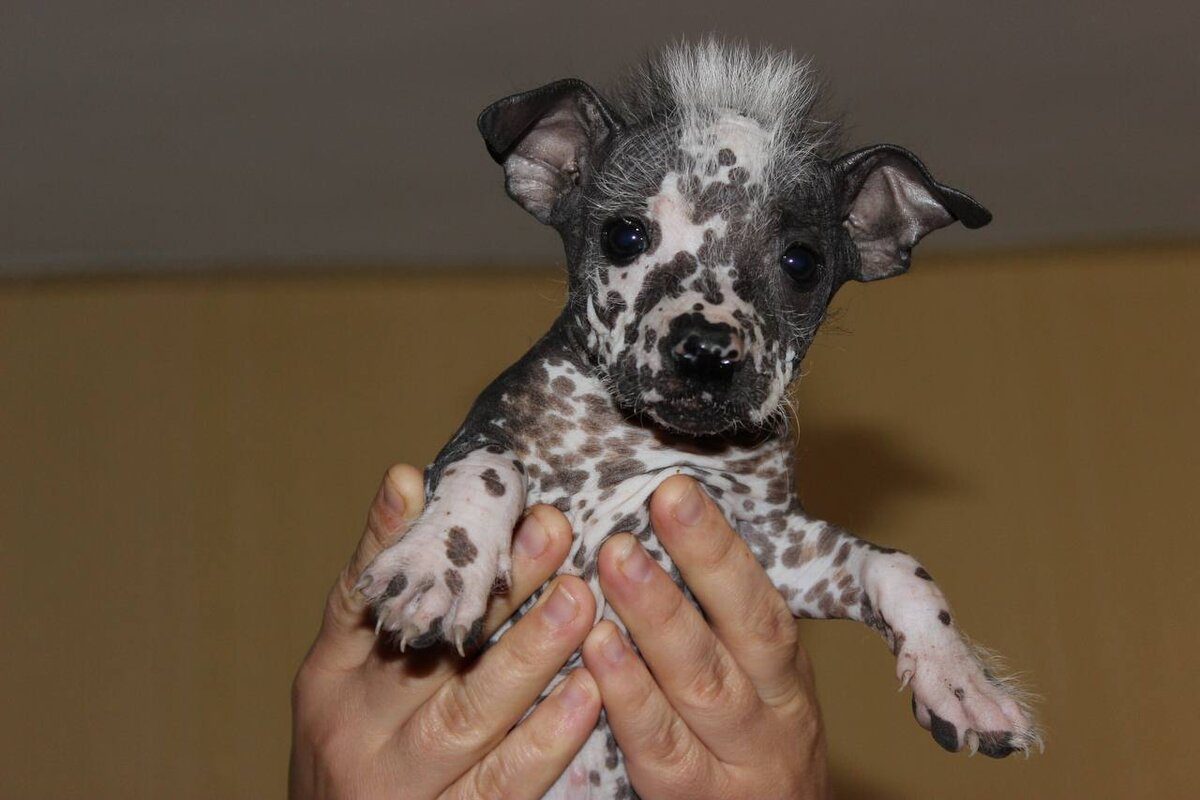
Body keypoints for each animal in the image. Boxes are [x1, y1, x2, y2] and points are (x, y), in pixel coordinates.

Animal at [355, 42, 1041, 796]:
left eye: (801, 262)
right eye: (625, 235)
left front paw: (961, 679)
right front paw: (438, 566)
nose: (708, 350)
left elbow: (899, 566)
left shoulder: (779, 550)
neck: (646, 443)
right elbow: (490, 468)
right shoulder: (471, 440)